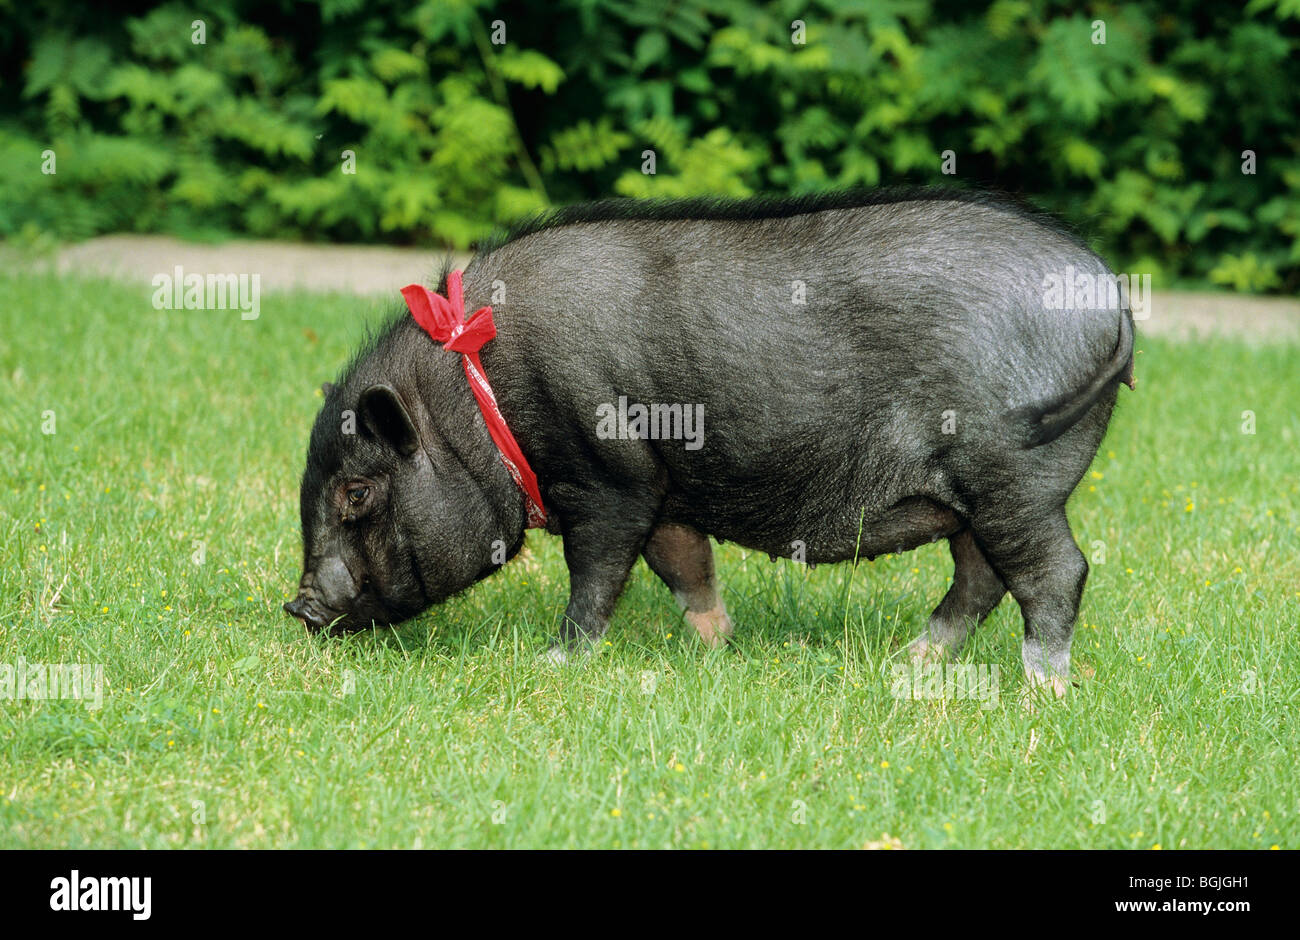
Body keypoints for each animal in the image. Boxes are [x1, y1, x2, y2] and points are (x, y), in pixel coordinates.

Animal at [282, 191, 1128, 696]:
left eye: (356, 491)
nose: (298, 605)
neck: (474, 398)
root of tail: (1110, 296)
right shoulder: (664, 492)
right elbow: (686, 566)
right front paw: (718, 647)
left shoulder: (610, 477)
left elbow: (596, 574)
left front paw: (556, 661)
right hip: (987, 491)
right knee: (981, 576)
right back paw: (910, 664)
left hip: (1012, 472)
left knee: (1055, 571)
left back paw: (1043, 689)